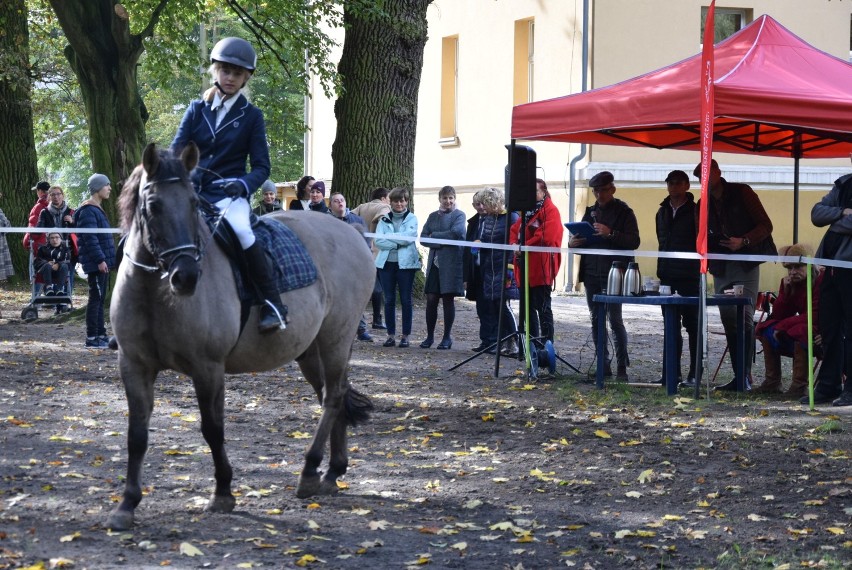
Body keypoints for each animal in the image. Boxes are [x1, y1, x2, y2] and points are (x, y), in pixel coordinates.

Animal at [105, 142, 372, 528]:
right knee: (331, 393)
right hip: (310, 350)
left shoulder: (208, 367)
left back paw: (310, 472)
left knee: (333, 396)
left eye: (193, 202)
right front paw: (126, 504)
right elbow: (136, 435)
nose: (186, 276)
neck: (155, 292)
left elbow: (212, 428)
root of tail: (351, 233)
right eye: (153, 205)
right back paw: (332, 472)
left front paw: (222, 494)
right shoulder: (134, 365)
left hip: (336, 337)